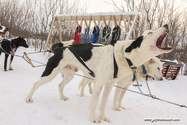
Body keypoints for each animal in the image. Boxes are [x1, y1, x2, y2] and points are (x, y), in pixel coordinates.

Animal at [25, 24, 172, 123]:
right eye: (150, 32)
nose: (166, 25)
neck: (124, 56)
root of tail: (61, 48)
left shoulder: (109, 85)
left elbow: (103, 103)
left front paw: (102, 117)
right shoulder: (99, 84)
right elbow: (95, 103)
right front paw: (93, 119)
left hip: (69, 75)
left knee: (60, 85)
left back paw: (62, 97)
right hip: (50, 74)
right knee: (35, 84)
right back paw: (28, 98)